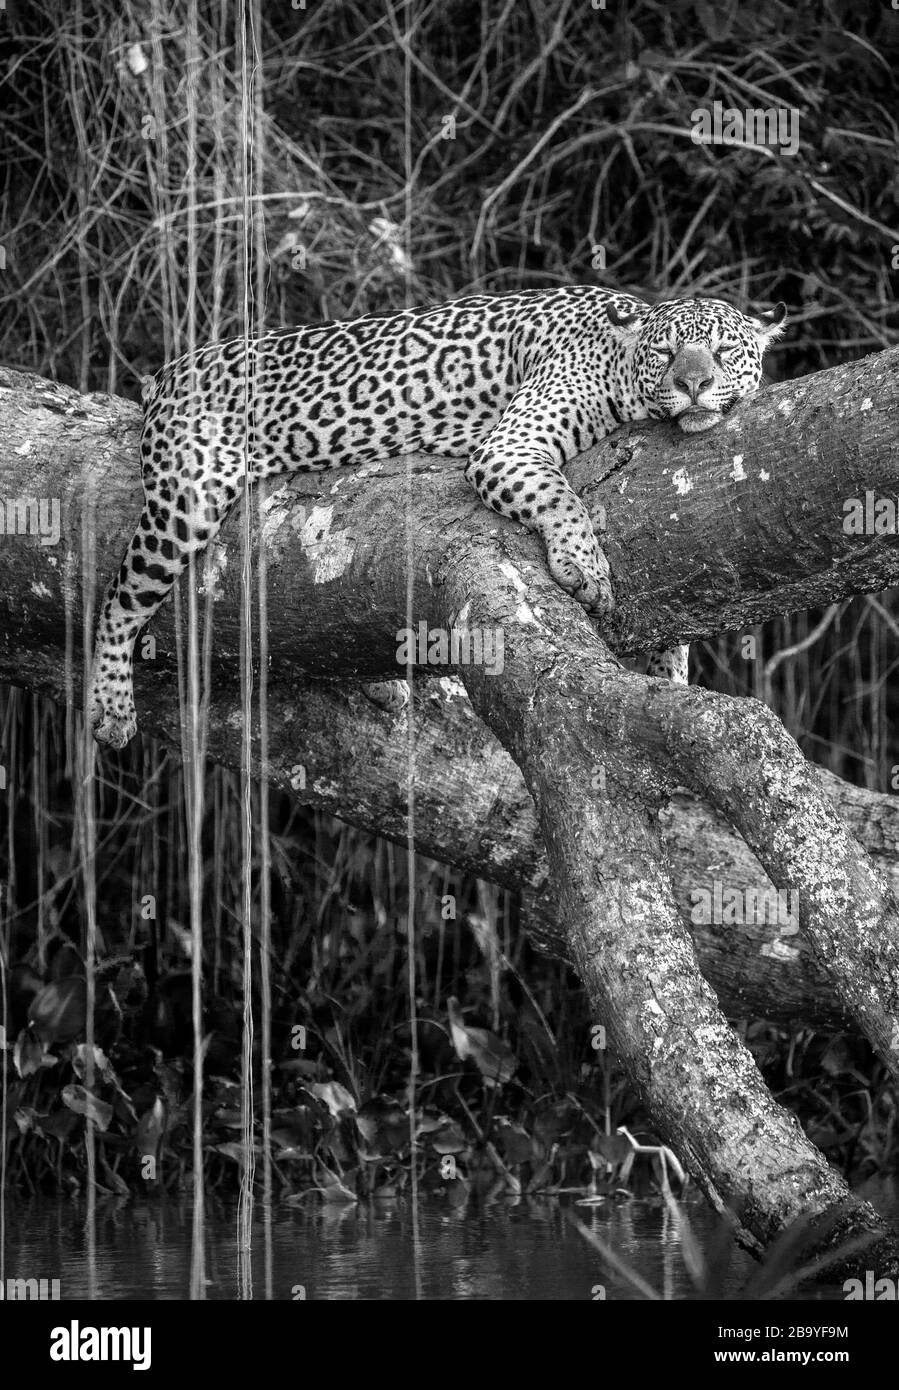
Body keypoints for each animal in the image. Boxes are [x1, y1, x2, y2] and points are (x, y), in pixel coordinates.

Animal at [87, 286, 786, 748]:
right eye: (666, 354)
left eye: (724, 351)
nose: (694, 386)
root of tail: (168, 371)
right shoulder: (510, 446)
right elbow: (561, 495)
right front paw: (584, 566)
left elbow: (677, 639)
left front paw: (675, 676)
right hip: (189, 494)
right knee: (117, 601)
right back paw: (110, 709)